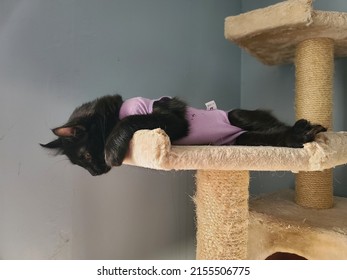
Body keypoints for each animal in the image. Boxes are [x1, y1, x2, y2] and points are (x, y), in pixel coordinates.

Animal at [40, 95, 326, 176]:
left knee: (275, 125)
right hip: (244, 140)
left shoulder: (172, 120)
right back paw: (299, 136)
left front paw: (112, 149)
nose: (96, 174)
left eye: (87, 156)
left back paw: (302, 130)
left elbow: (128, 120)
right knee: (270, 135)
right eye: (82, 164)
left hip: (236, 116)